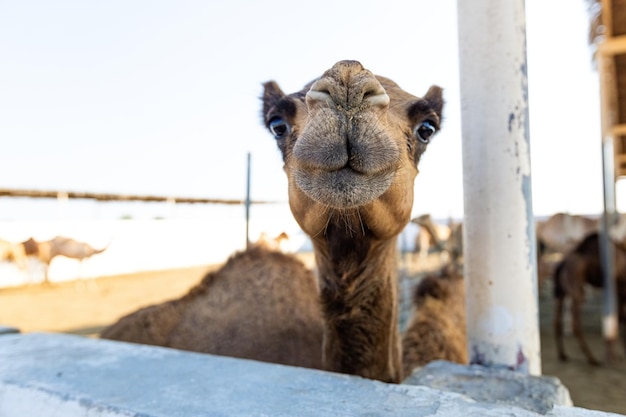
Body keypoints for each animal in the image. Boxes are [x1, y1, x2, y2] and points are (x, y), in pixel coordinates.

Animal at [552, 232, 624, 366]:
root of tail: (562, 264)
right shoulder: (619, 286)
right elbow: (620, 316)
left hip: (560, 292)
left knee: (556, 321)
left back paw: (562, 355)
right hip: (577, 290)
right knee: (575, 324)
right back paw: (593, 359)